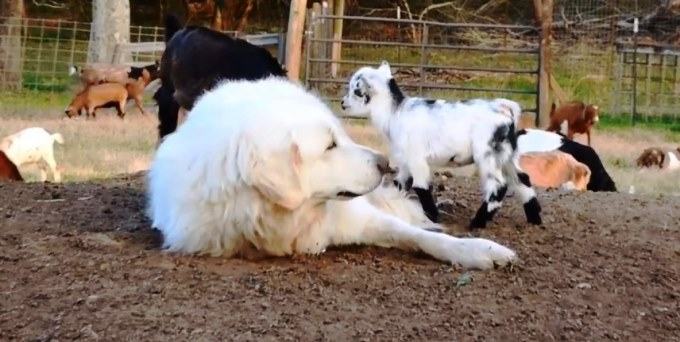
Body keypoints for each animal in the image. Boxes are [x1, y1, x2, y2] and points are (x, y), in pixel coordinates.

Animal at [340, 62, 540, 230]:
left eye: (356, 91)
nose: (342, 103)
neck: (394, 113)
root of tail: (506, 112)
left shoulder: (416, 156)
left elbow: (421, 186)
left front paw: (432, 217)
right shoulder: (405, 160)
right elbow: (400, 183)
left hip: (487, 152)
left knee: (498, 185)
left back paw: (477, 223)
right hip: (507, 153)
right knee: (522, 178)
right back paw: (535, 219)